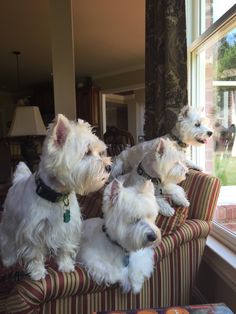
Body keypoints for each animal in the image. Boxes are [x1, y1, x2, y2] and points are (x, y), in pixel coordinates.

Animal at [0, 114, 111, 280]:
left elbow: (65, 247)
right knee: (7, 241)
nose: (109, 167)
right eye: (87, 152)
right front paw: (37, 272)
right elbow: (34, 253)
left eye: (100, 152)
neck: (57, 196)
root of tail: (18, 179)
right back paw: (8, 260)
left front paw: (66, 266)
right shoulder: (32, 231)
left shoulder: (68, 227)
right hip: (9, 221)